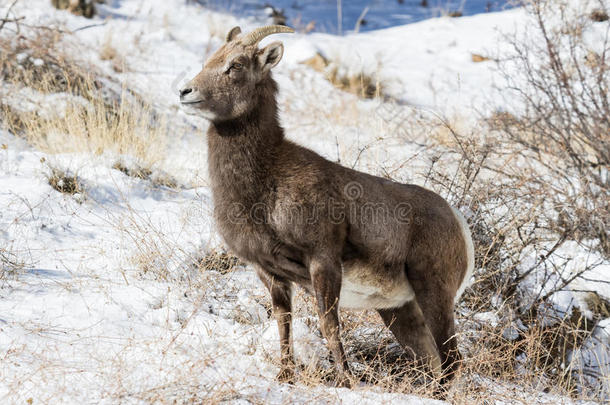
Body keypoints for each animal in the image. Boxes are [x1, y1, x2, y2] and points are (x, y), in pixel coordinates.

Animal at [178, 26, 472, 388]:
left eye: (235, 65)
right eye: (211, 60)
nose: (185, 92)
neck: (265, 180)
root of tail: (458, 223)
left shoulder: (323, 261)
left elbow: (329, 324)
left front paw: (346, 380)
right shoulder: (270, 273)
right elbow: (284, 324)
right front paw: (285, 375)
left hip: (434, 293)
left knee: (452, 359)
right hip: (400, 310)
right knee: (432, 359)